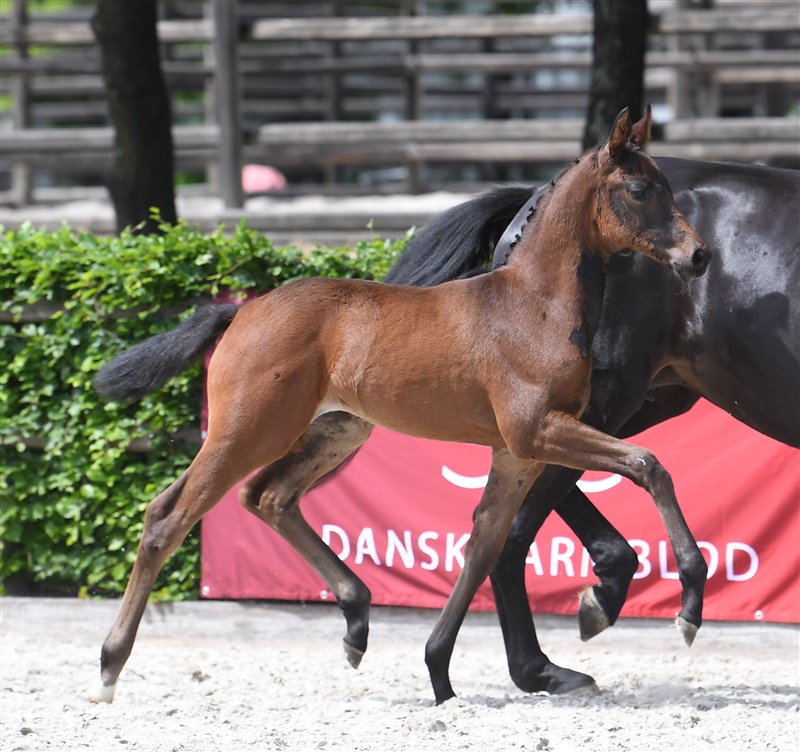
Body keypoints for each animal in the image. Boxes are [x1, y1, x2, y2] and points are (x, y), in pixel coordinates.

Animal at [89, 108, 710, 706]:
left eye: (668, 188)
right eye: (639, 190)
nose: (700, 255)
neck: (534, 304)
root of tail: (240, 311)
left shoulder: (518, 454)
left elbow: (483, 544)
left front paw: (439, 676)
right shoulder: (537, 431)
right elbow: (648, 464)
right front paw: (688, 603)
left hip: (333, 431)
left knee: (268, 496)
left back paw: (357, 620)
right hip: (248, 431)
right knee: (168, 517)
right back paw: (108, 669)